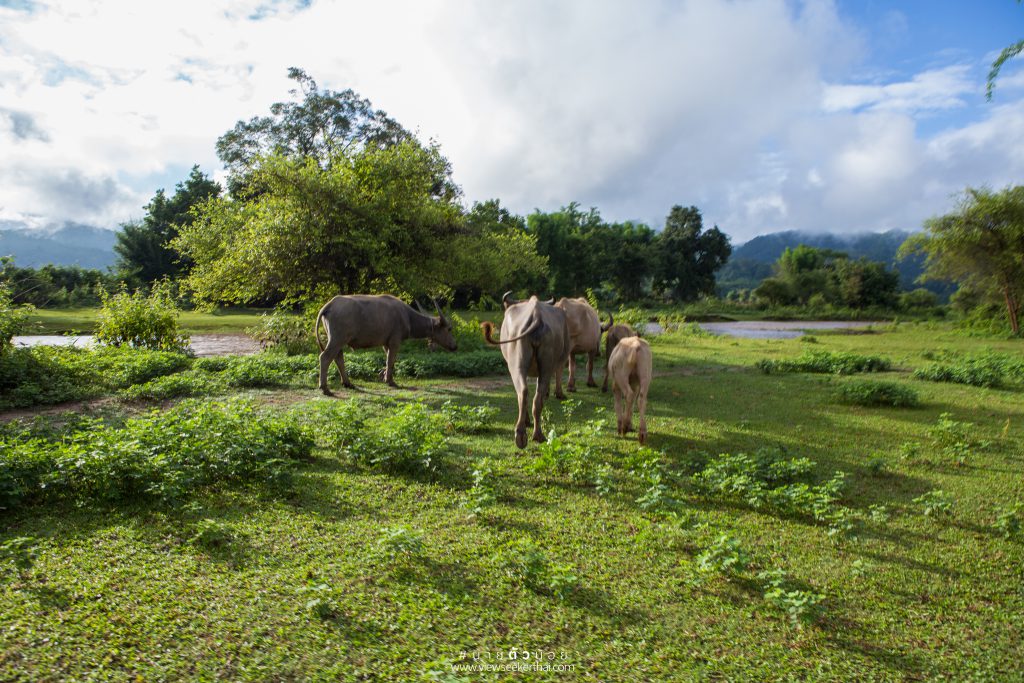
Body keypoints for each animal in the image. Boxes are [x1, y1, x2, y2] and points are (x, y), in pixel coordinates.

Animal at [311, 294, 456, 395]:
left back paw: (347, 383)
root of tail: (329, 305)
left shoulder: (386, 344)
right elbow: (391, 360)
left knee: (338, 357)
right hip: (337, 339)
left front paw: (383, 374)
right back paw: (325, 388)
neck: (407, 316)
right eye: (449, 329)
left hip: (338, 340)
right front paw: (390, 381)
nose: (455, 346)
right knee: (325, 357)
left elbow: (389, 360)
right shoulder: (395, 341)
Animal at [477, 292, 569, 448]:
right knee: (537, 397)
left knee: (522, 392)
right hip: (546, 366)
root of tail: (536, 315)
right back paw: (537, 435)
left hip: (515, 366)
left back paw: (521, 434)